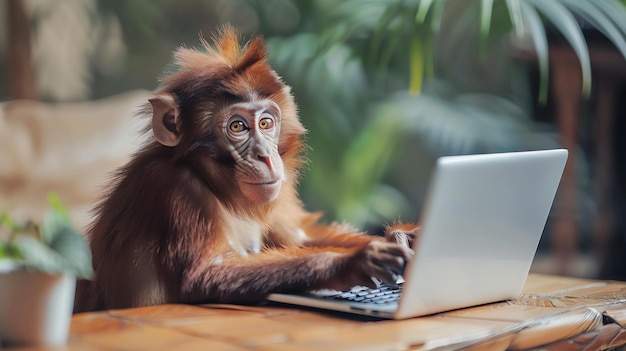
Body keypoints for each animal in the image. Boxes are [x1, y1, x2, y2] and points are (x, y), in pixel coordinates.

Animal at [73, 26, 416, 314]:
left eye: (266, 123)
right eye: (237, 127)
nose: (265, 156)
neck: (215, 185)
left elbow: (299, 238)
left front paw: (403, 238)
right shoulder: (174, 189)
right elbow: (203, 277)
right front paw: (348, 264)